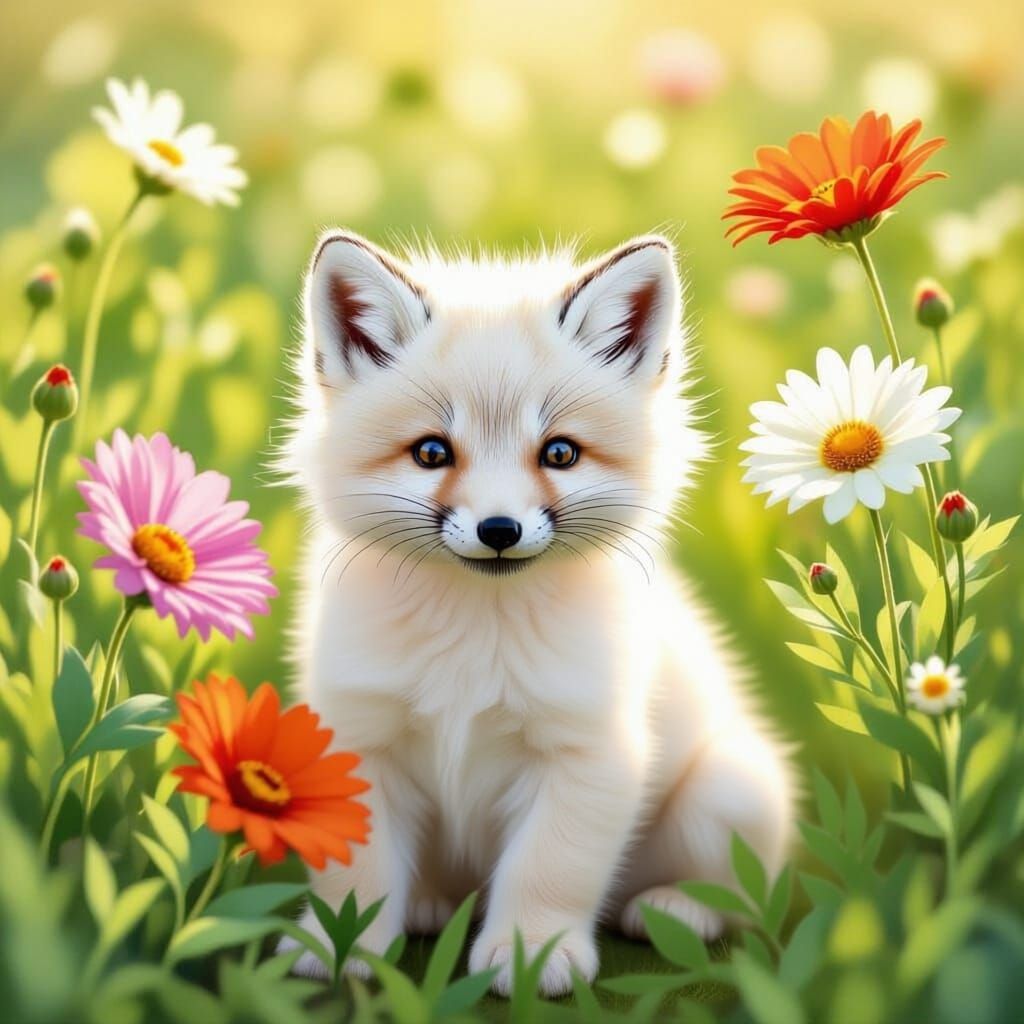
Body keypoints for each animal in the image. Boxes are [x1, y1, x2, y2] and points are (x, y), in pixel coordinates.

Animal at [279, 230, 795, 996]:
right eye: (431, 452)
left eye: (560, 453)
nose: (499, 530)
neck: (472, 642)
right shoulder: (361, 738)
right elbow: (357, 876)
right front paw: (345, 945)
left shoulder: (585, 750)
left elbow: (548, 867)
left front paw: (530, 954)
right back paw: (430, 902)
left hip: (729, 794)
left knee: (736, 901)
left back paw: (673, 909)